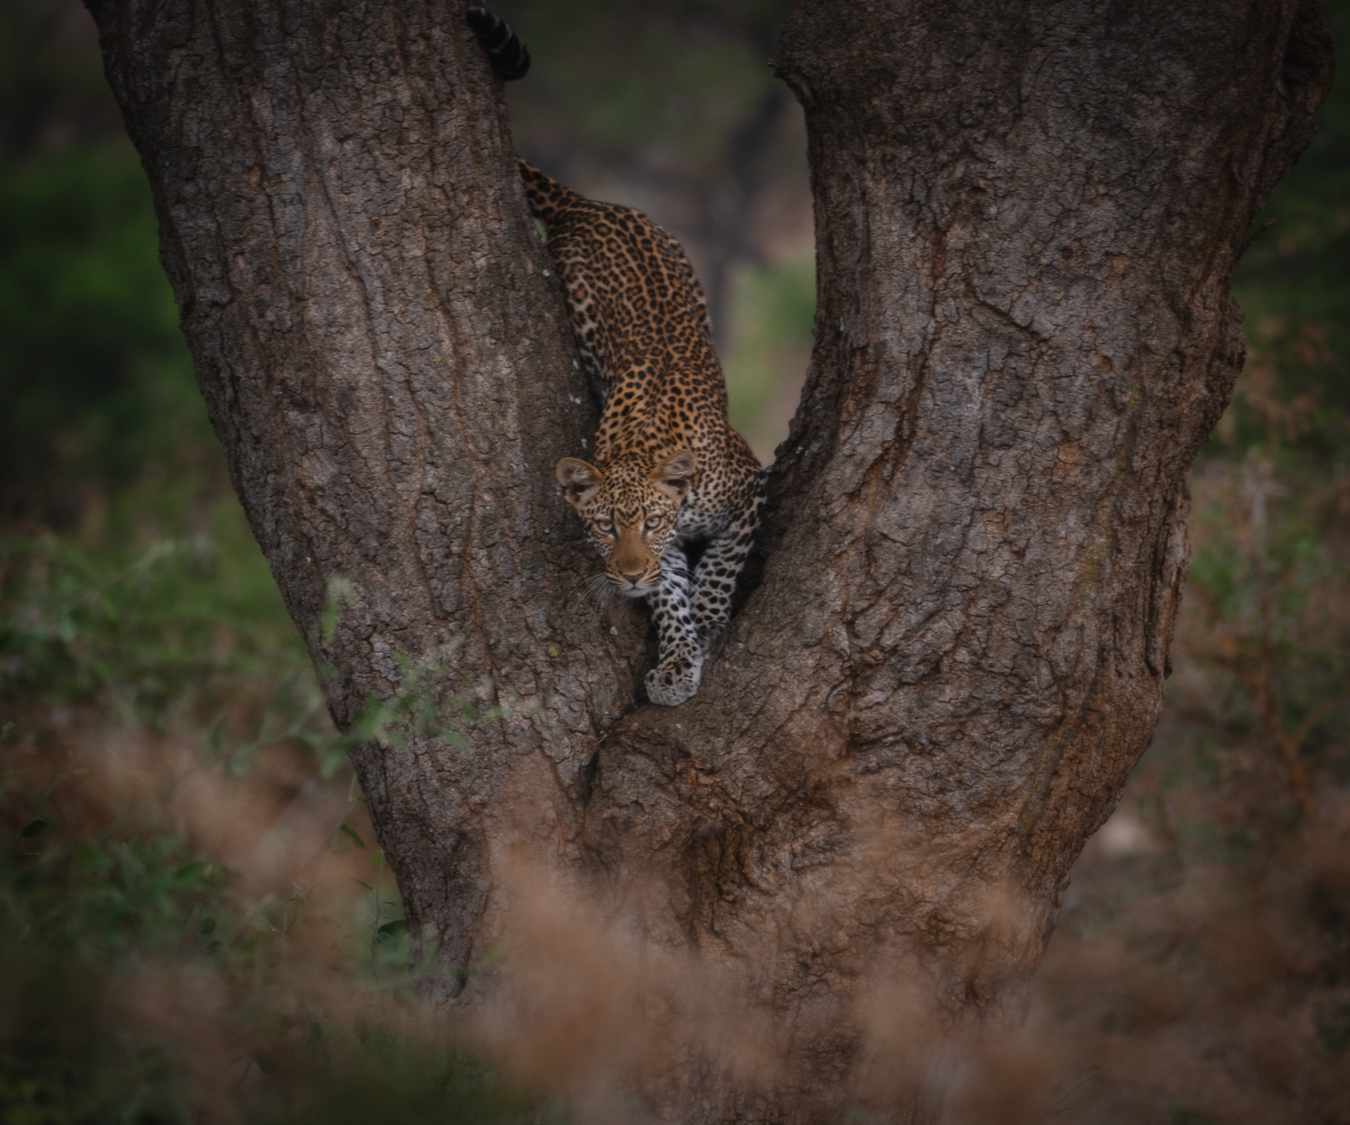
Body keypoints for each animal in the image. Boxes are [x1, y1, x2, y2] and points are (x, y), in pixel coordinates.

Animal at [469, 8, 766, 706]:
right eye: (605, 526)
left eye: (651, 523)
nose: (626, 574)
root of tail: (591, 205)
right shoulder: (666, 558)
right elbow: (669, 598)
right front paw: (678, 658)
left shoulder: (748, 492)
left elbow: (718, 568)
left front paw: (709, 616)